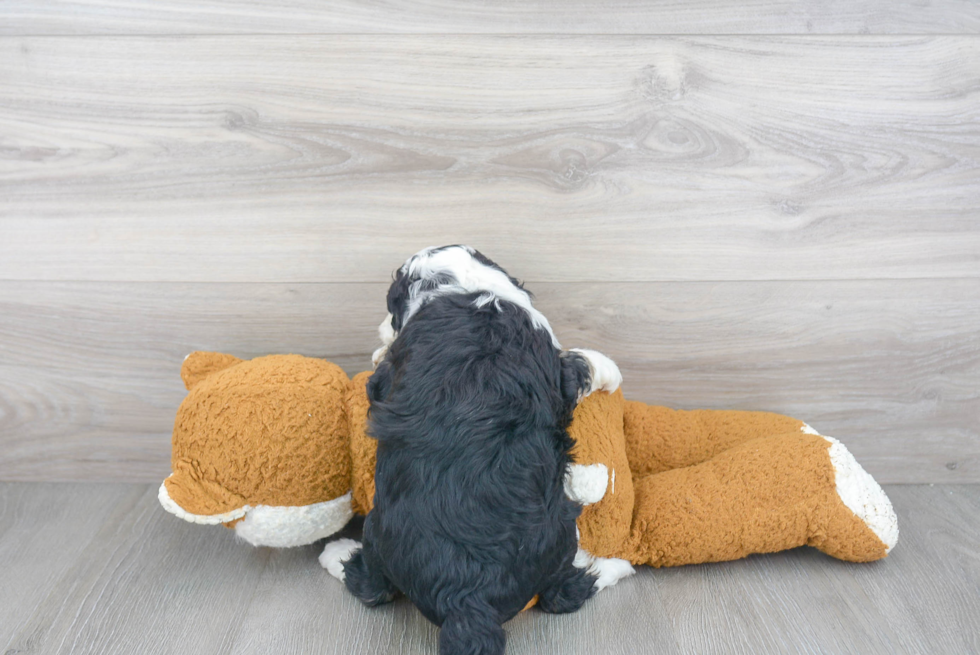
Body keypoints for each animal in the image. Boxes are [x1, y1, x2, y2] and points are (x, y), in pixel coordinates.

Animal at [322, 246, 628, 655]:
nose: (383, 327)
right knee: (564, 593)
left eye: (390, 308)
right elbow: (579, 362)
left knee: (373, 588)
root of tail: (465, 600)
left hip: (379, 530)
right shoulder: (555, 364)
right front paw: (609, 369)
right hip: (558, 534)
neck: (462, 287)